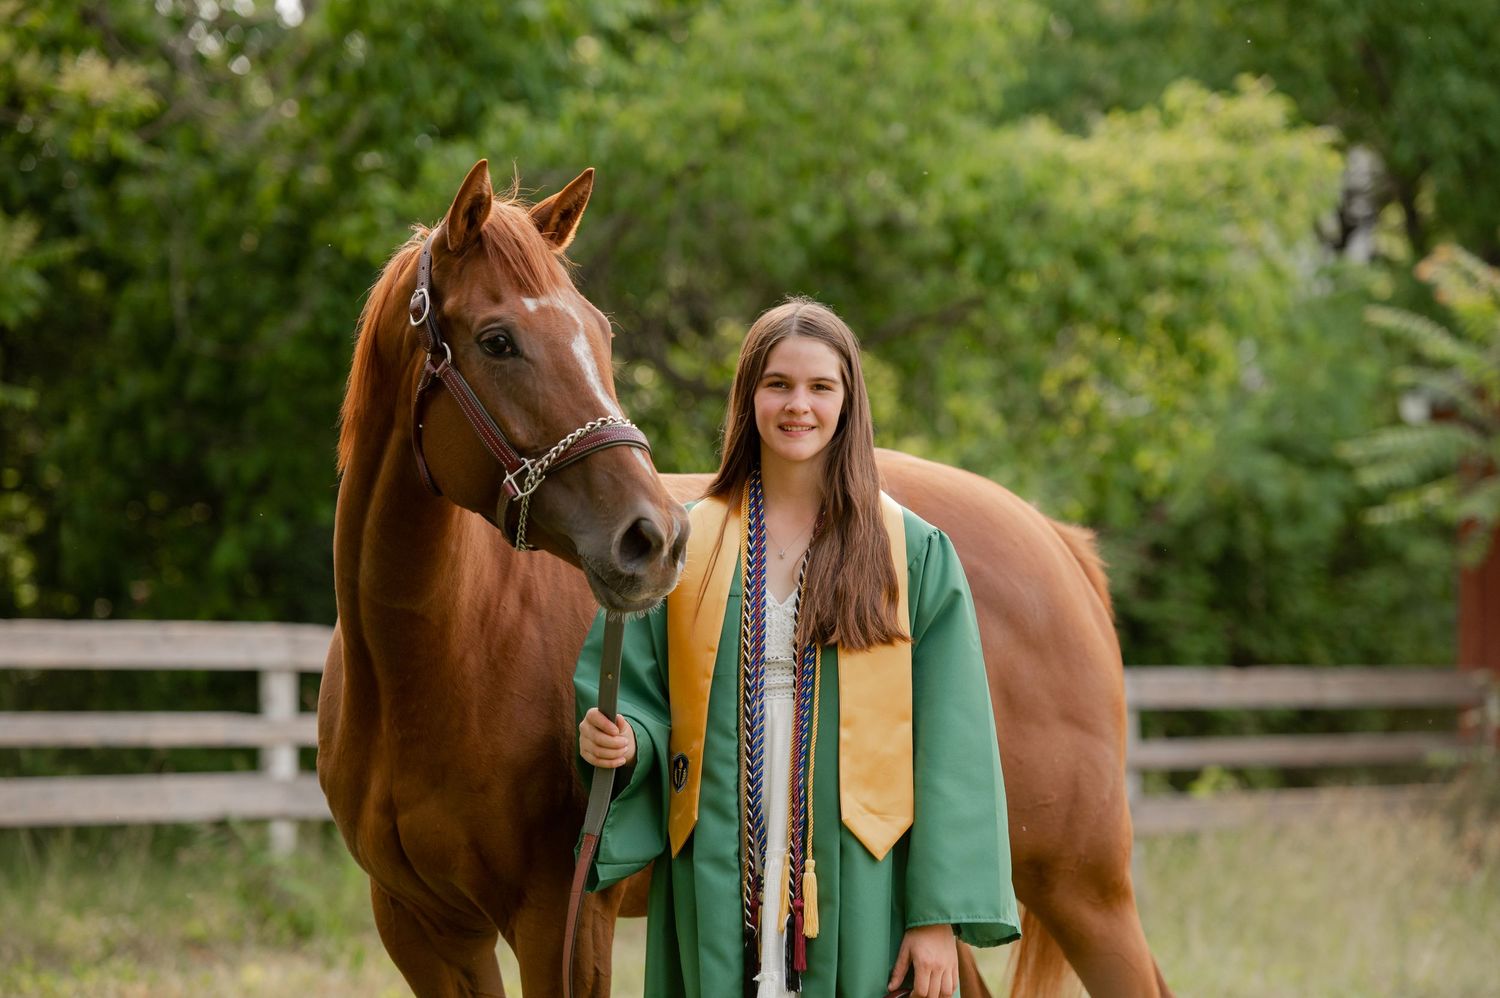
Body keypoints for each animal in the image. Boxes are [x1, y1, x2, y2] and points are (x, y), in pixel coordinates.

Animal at [321, 159, 1173, 997]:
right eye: (497, 340)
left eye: (600, 334)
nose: (654, 537)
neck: (435, 667)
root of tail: (1056, 543)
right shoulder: (425, 932)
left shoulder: (563, 922)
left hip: (1083, 889)